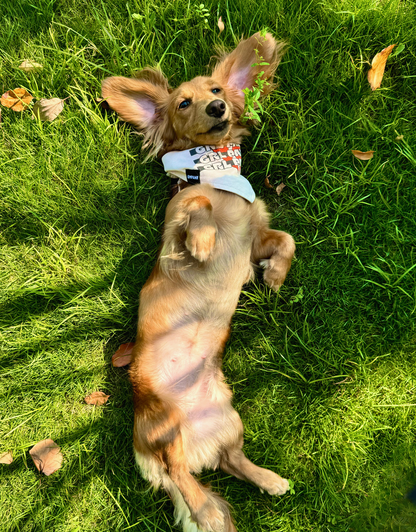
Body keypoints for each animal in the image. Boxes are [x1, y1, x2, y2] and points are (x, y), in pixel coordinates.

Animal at [101, 33, 296, 532]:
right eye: (183, 103)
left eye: (218, 90)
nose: (216, 108)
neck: (215, 171)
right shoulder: (177, 222)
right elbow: (200, 208)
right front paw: (206, 243)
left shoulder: (256, 235)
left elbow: (286, 241)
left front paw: (274, 276)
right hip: (165, 427)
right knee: (178, 472)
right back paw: (205, 509)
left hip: (230, 420)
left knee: (229, 461)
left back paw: (269, 480)